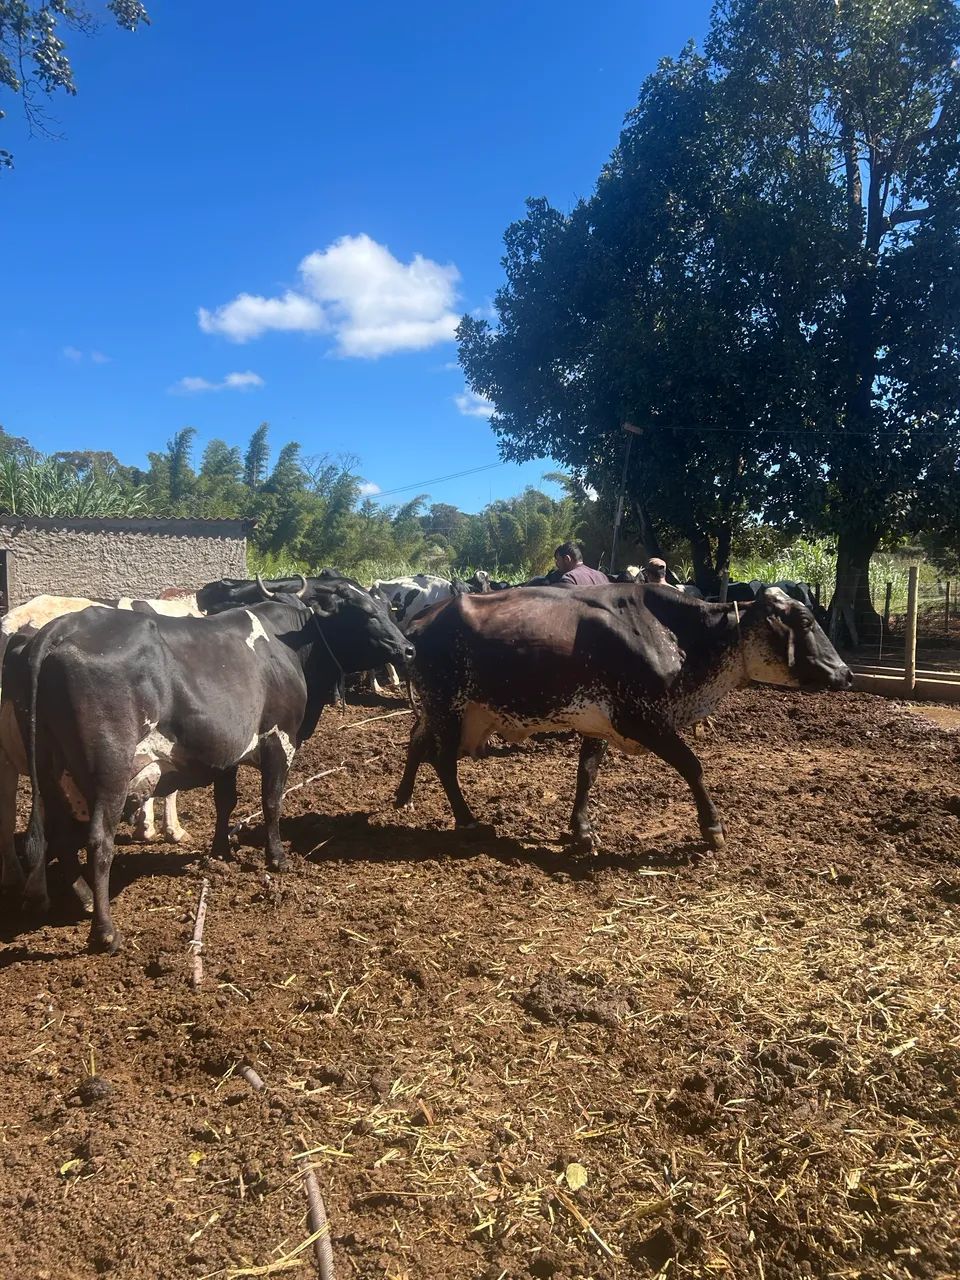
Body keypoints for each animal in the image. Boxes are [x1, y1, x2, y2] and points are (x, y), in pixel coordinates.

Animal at [11, 576, 412, 952]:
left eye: (387, 608)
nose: (408, 648)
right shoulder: (279, 738)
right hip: (109, 772)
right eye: (365, 612)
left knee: (59, 836)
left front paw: (222, 852)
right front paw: (277, 857)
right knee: (97, 841)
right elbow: (272, 802)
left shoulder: (227, 753)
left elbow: (225, 802)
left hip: (51, 771)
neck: (287, 643)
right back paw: (105, 931)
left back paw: (81, 899)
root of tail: (58, 629)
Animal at [394, 584, 851, 855]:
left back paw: (403, 797)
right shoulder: (642, 720)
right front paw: (713, 827)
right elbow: (692, 766)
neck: (674, 636)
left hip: (453, 712)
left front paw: (582, 831)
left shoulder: (598, 721)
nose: (846, 673)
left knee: (417, 739)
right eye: (806, 621)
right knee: (443, 761)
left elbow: (587, 773)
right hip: (448, 706)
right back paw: (466, 819)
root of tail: (419, 619)